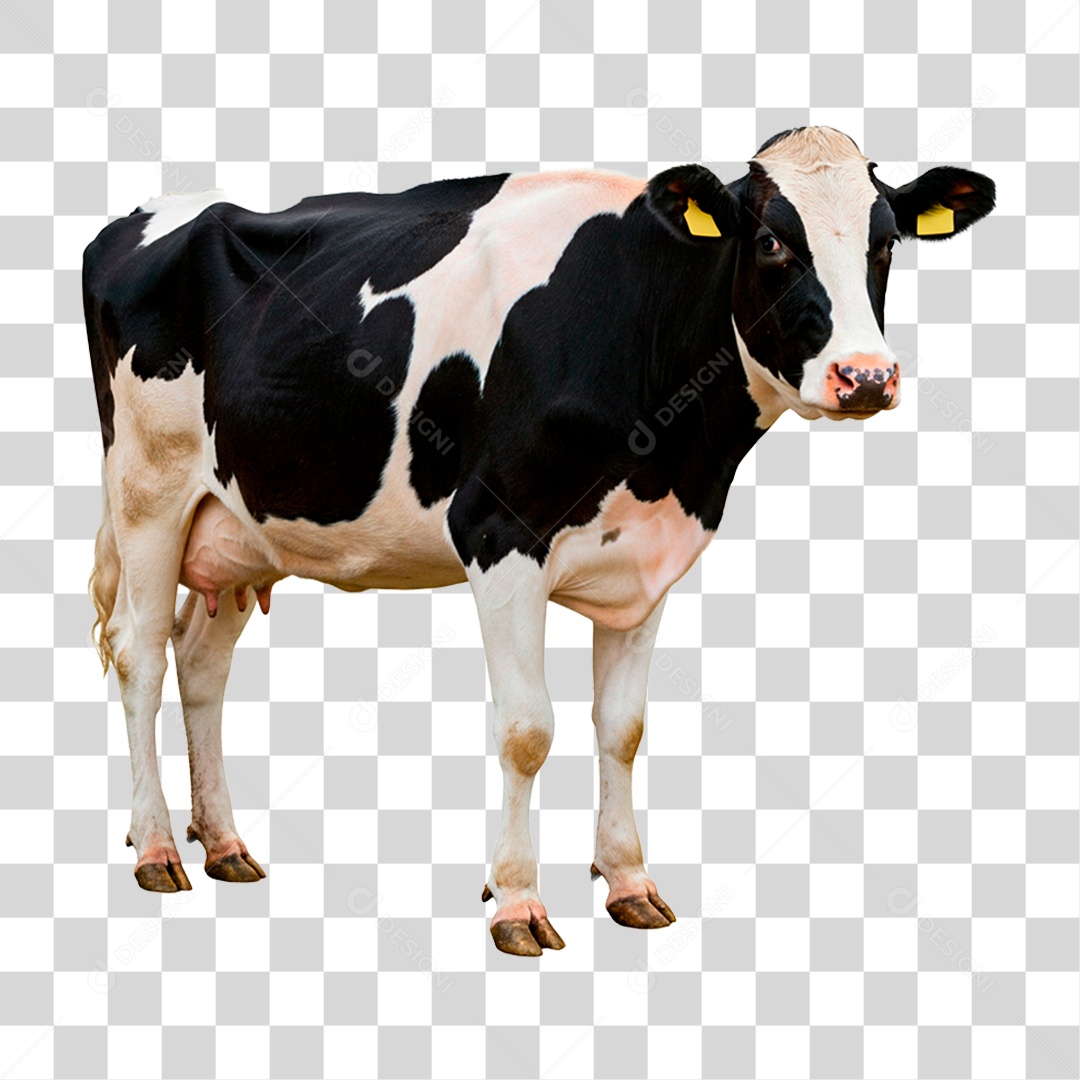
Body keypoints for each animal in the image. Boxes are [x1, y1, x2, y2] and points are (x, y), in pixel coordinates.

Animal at [83, 126, 995, 955]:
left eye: (886, 242)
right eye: (772, 240)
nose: (867, 377)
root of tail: (136, 219)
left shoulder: (649, 562)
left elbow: (622, 728)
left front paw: (629, 884)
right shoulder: (498, 533)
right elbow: (527, 731)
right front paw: (517, 903)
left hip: (239, 523)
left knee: (202, 666)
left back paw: (225, 844)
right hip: (148, 493)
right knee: (140, 656)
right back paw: (158, 847)